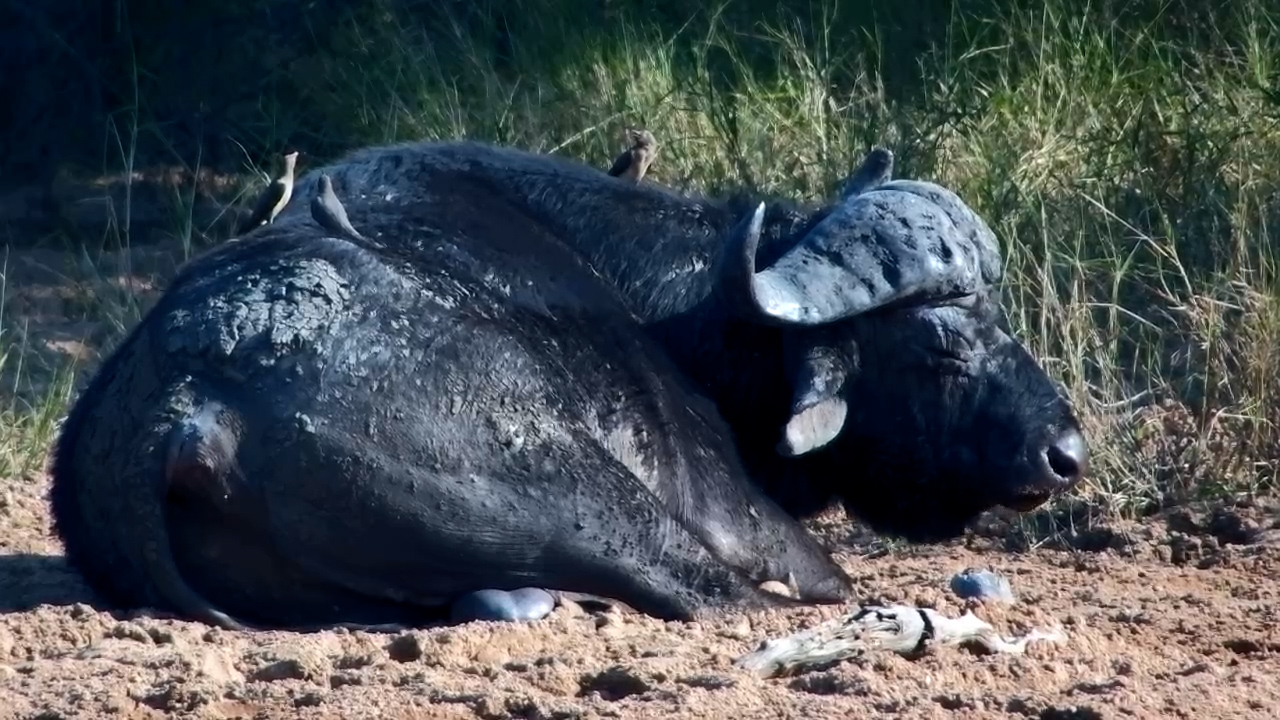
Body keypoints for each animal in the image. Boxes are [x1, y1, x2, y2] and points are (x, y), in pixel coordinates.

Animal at [47, 140, 1087, 631]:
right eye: (940, 345)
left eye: (1002, 317)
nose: (1064, 453)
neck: (689, 318)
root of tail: (188, 399)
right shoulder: (741, 511)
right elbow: (811, 569)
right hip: (571, 487)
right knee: (716, 593)